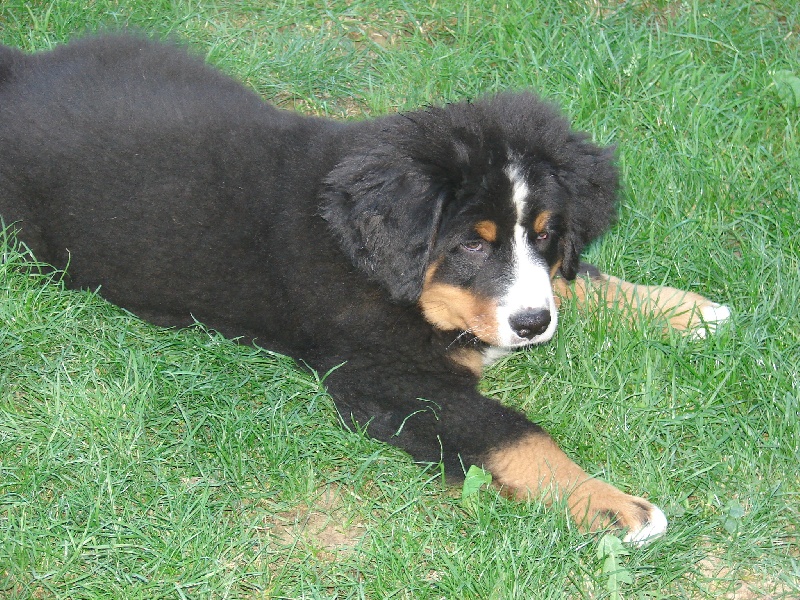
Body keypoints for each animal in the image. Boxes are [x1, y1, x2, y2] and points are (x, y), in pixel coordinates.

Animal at [0, 34, 729, 544]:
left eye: (548, 234)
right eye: (471, 243)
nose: (532, 327)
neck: (375, 268)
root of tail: (22, 70)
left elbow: (575, 282)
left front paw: (679, 308)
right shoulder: (388, 379)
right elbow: (511, 433)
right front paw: (608, 504)